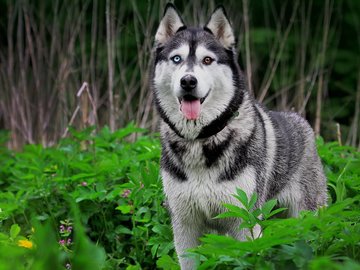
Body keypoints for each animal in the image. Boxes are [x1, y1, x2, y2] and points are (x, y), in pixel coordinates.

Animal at [150, 3, 328, 268]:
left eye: (207, 59)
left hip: (306, 215)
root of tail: (302, 121)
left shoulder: (245, 222)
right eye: (176, 59)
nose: (188, 81)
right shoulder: (185, 226)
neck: (200, 140)